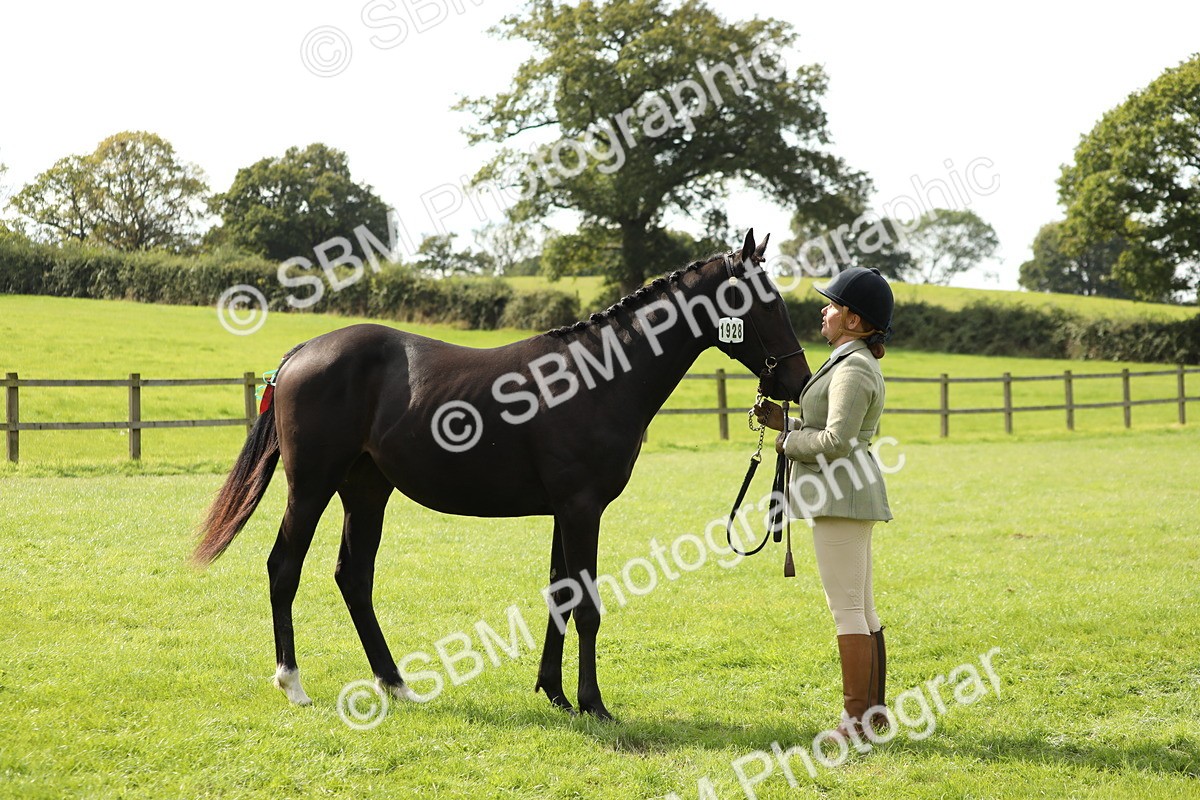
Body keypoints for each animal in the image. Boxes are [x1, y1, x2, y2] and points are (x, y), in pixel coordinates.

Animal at [193, 229, 811, 719]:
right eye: (765, 303)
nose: (798, 381)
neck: (599, 377)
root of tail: (301, 352)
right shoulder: (582, 508)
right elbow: (587, 605)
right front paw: (593, 704)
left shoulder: (566, 510)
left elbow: (560, 594)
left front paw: (555, 693)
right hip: (312, 486)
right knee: (284, 568)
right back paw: (294, 685)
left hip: (366, 490)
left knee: (354, 577)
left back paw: (395, 683)